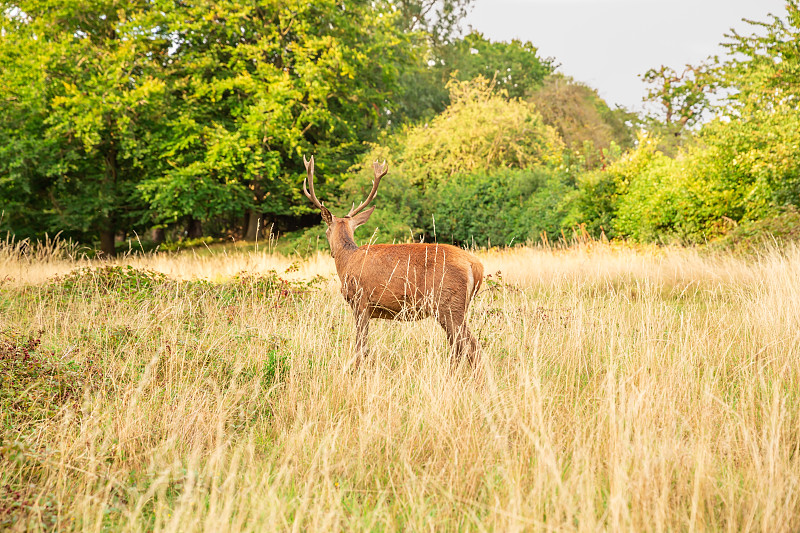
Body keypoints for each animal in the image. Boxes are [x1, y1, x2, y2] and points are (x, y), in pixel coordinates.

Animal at [304, 155, 484, 366]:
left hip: (448, 303)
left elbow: (361, 346)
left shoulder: (360, 300)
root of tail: (476, 266)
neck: (346, 260)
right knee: (460, 348)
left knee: (472, 348)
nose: (331, 252)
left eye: (326, 231)